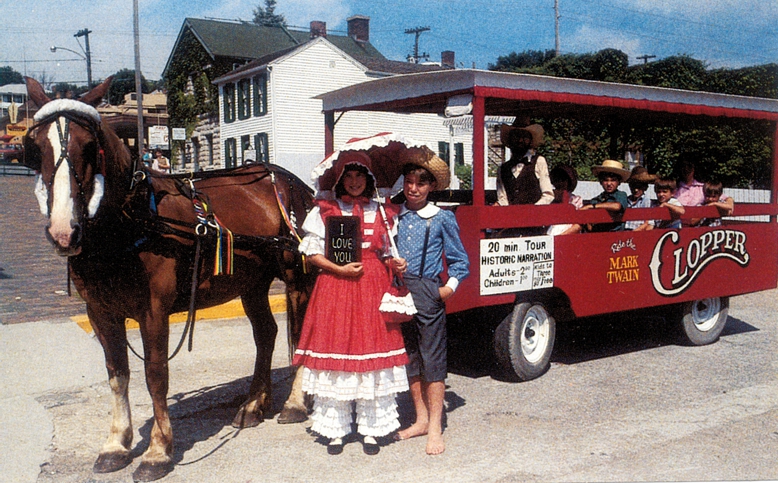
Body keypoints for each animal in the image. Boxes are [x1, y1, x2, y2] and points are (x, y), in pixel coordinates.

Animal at [25, 77, 316, 482]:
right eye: (36, 147)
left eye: (89, 144)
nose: (63, 231)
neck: (133, 221)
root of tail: (293, 184)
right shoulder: (100, 311)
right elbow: (117, 373)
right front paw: (116, 444)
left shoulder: (154, 310)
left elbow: (155, 374)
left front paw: (158, 451)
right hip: (252, 283)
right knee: (266, 335)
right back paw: (254, 404)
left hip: (296, 277)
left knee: (299, 335)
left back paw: (293, 404)